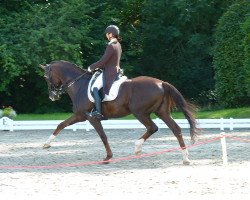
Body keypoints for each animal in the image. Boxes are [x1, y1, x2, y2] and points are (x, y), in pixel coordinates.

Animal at [40, 60, 198, 165]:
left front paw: (108, 157)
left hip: (140, 113)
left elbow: (103, 136)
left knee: (153, 127)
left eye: (46, 77)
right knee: (175, 129)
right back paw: (185, 157)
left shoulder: (91, 118)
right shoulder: (80, 116)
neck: (79, 85)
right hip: (162, 112)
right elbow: (61, 124)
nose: (52, 96)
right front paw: (47, 144)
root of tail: (161, 83)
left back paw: (137, 147)